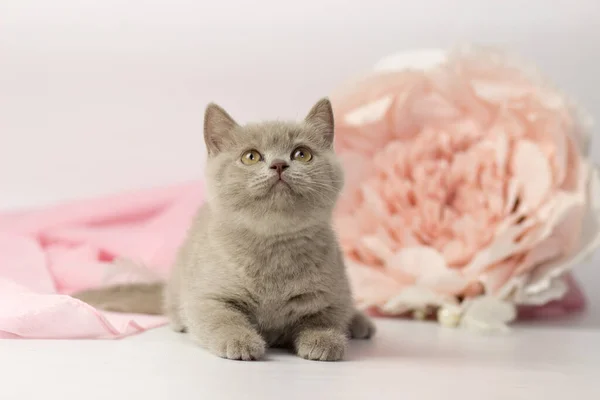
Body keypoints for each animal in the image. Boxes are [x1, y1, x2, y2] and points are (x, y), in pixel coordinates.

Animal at [74, 98, 376, 360]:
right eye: (251, 157)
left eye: (302, 154)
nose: (279, 164)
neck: (274, 246)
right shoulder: (208, 295)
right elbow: (223, 318)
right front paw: (240, 341)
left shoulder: (332, 295)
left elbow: (325, 319)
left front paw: (324, 340)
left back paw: (360, 323)